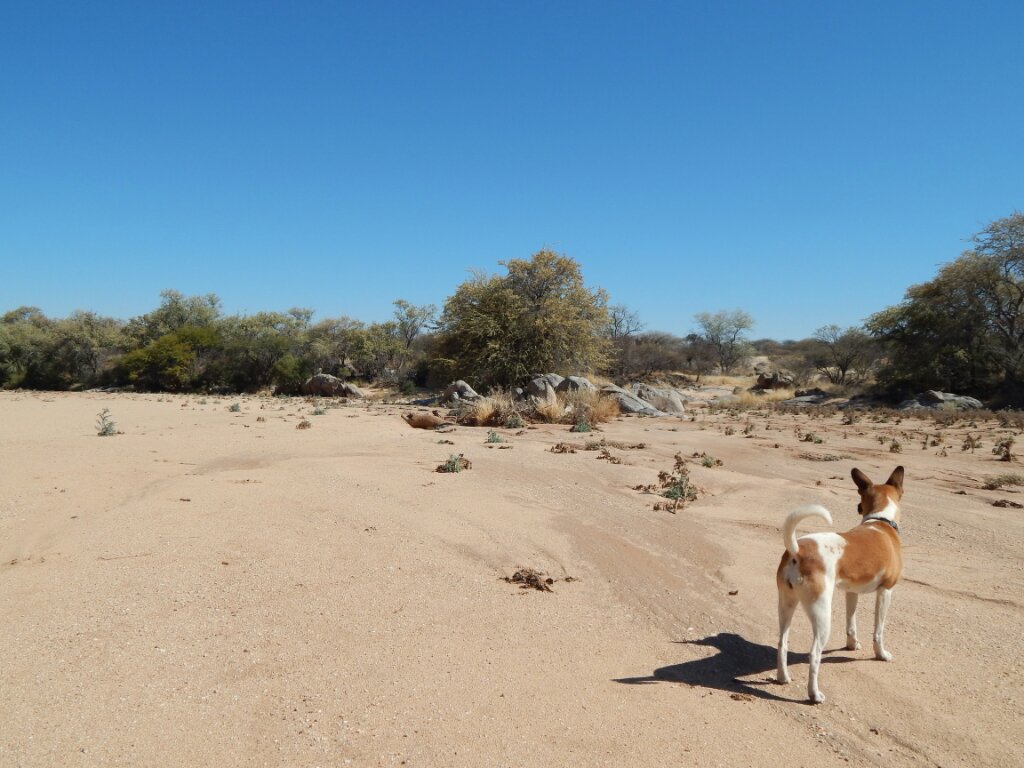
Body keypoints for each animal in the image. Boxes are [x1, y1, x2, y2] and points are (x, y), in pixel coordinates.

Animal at [776, 466, 904, 703]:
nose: (857, 507)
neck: (881, 521)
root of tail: (797, 550)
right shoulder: (885, 592)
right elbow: (878, 631)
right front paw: (881, 654)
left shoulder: (850, 593)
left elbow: (851, 624)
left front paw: (852, 645)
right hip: (821, 614)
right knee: (814, 654)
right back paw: (814, 694)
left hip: (786, 605)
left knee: (782, 643)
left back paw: (782, 677)